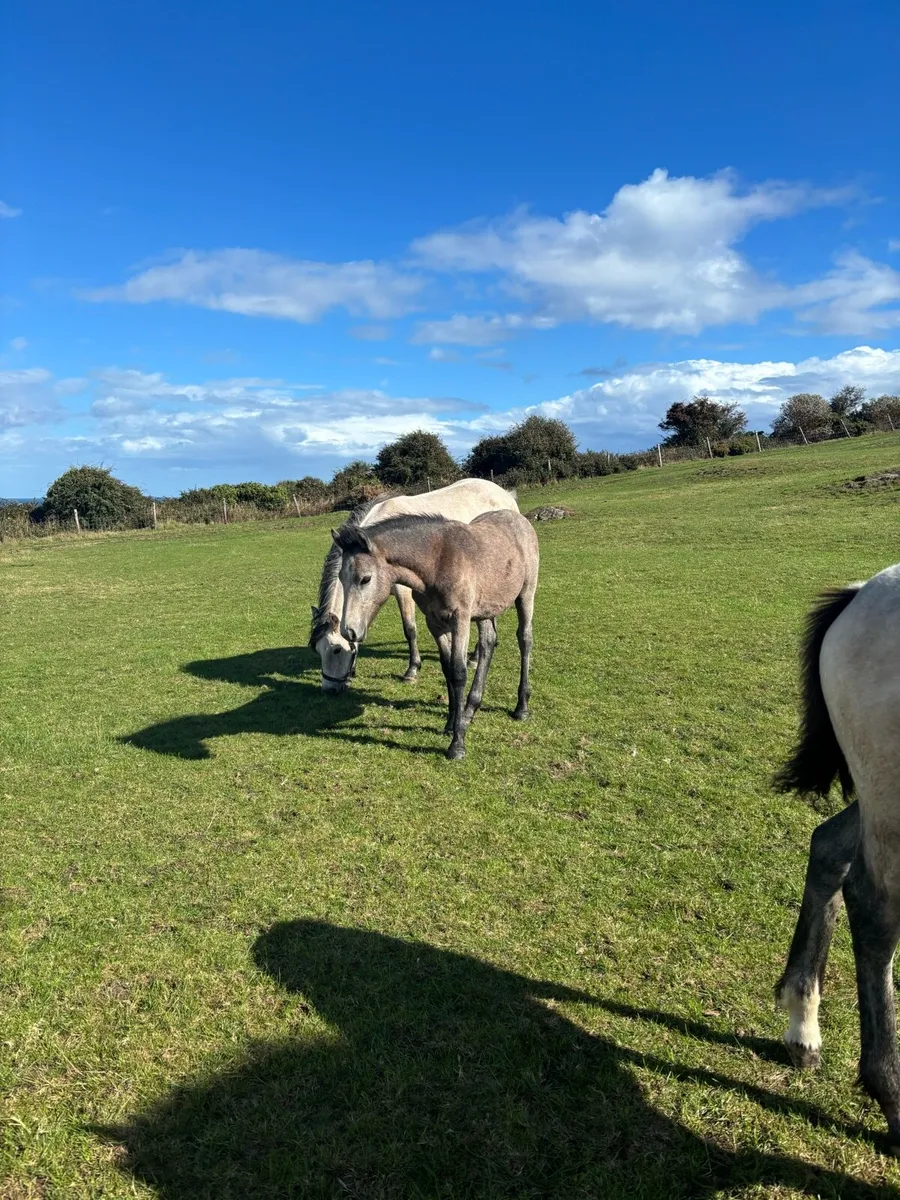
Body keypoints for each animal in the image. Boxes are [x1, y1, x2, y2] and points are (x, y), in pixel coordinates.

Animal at [309, 478, 518, 692]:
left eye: (336, 650)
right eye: (318, 650)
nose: (329, 689)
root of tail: (505, 494)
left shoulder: (404, 592)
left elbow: (409, 629)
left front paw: (412, 669)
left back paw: (475, 657)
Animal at [333, 510, 539, 760]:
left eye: (365, 579)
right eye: (341, 578)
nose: (349, 631)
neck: (438, 561)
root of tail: (518, 517)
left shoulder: (460, 620)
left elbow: (459, 672)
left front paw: (457, 744)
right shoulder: (435, 623)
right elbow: (447, 668)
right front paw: (451, 724)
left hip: (526, 594)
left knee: (524, 639)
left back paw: (521, 707)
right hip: (486, 609)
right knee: (488, 644)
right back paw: (470, 711)